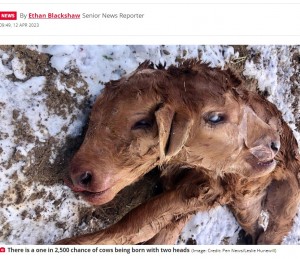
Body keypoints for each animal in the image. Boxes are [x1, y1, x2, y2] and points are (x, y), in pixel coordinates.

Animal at [57, 60, 298, 246]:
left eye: (143, 122)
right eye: (92, 117)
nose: (79, 174)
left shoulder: (206, 186)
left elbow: (137, 219)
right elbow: (152, 226)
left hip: (287, 197)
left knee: (275, 230)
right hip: (246, 206)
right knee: (255, 225)